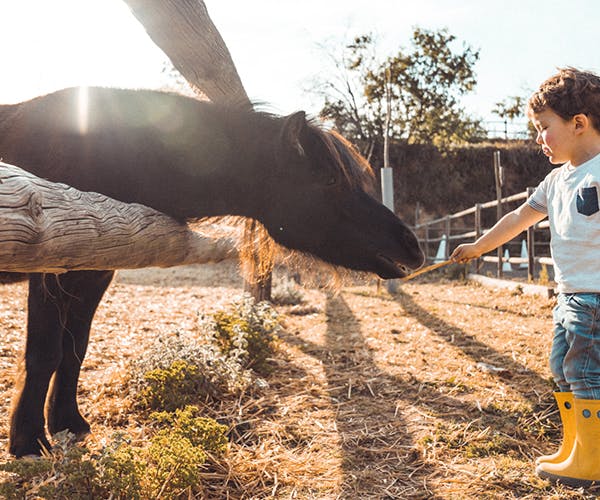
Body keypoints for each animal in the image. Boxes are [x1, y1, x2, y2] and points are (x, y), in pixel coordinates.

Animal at [0, 87, 422, 458]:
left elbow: (75, 349)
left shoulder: (93, 272)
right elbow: (45, 352)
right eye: (331, 179)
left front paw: (68, 423)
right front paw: (28, 442)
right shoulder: (51, 269)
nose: (412, 245)